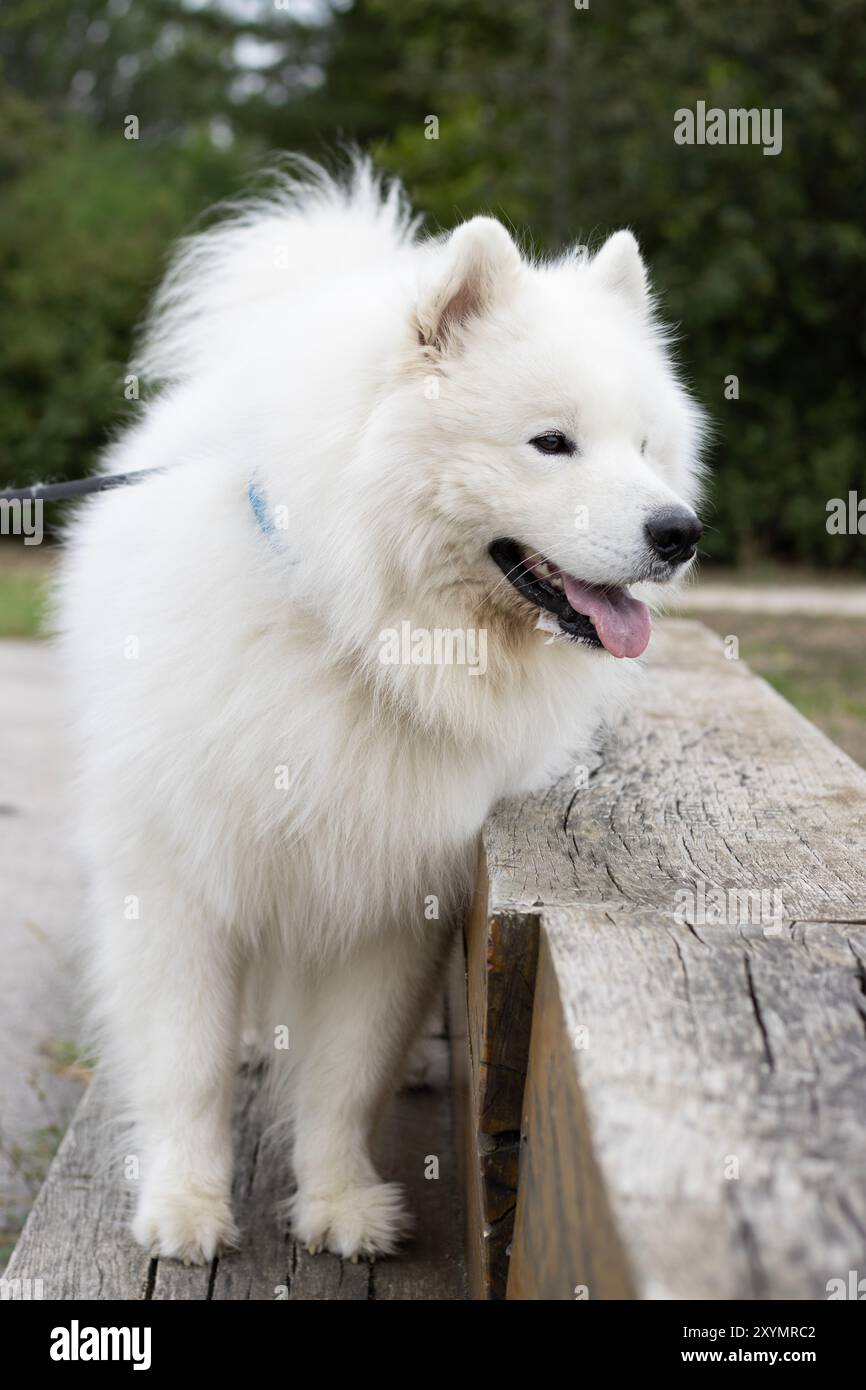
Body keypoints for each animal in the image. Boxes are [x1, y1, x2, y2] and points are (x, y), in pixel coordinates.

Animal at [55, 159, 706, 1262]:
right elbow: (185, 1062)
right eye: (551, 442)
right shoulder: (178, 878)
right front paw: (186, 1205)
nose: (679, 531)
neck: (361, 634)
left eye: (647, 446)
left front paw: (340, 1203)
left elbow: (345, 1074)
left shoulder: (396, 890)